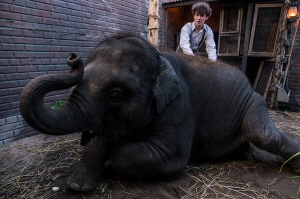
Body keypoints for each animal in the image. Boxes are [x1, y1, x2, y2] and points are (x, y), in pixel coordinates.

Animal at [19, 35, 300, 191]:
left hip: (253, 102)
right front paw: (78, 186)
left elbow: (163, 156)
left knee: (264, 135)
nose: (72, 57)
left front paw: (113, 158)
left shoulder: (180, 106)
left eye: (116, 94)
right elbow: (104, 137)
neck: (159, 58)